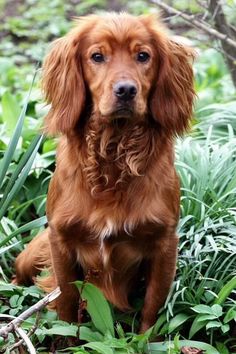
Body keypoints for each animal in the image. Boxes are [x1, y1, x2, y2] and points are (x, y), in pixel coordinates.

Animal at [14, 11, 195, 332]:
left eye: (143, 56)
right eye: (97, 56)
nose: (126, 90)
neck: (113, 155)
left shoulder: (164, 244)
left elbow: (151, 309)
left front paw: (147, 339)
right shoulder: (60, 241)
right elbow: (67, 302)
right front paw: (65, 338)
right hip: (32, 253)